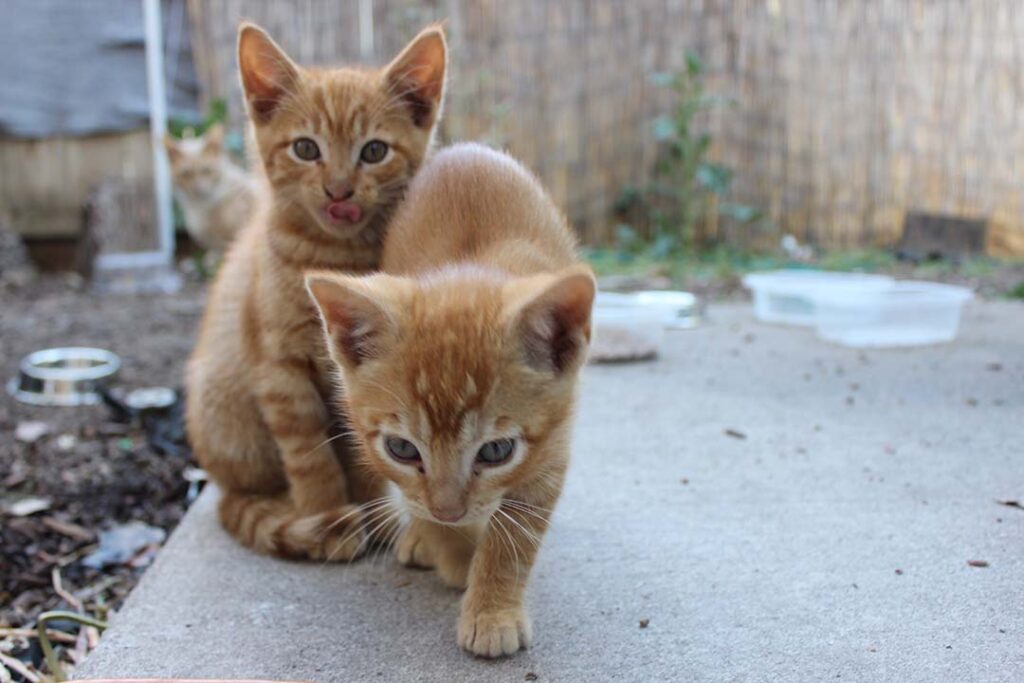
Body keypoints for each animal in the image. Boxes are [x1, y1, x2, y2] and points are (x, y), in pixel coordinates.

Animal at [185, 21, 447, 561]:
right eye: (306, 149)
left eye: (374, 151)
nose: (339, 190)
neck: (334, 257)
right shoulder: (277, 366)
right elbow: (307, 452)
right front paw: (327, 517)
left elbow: (362, 447)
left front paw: (374, 512)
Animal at [306, 143, 595, 657]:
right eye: (402, 448)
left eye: (496, 451)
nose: (449, 510)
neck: (470, 265)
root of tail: (465, 150)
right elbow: (416, 499)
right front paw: (451, 549)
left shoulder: (551, 448)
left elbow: (514, 536)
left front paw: (492, 609)